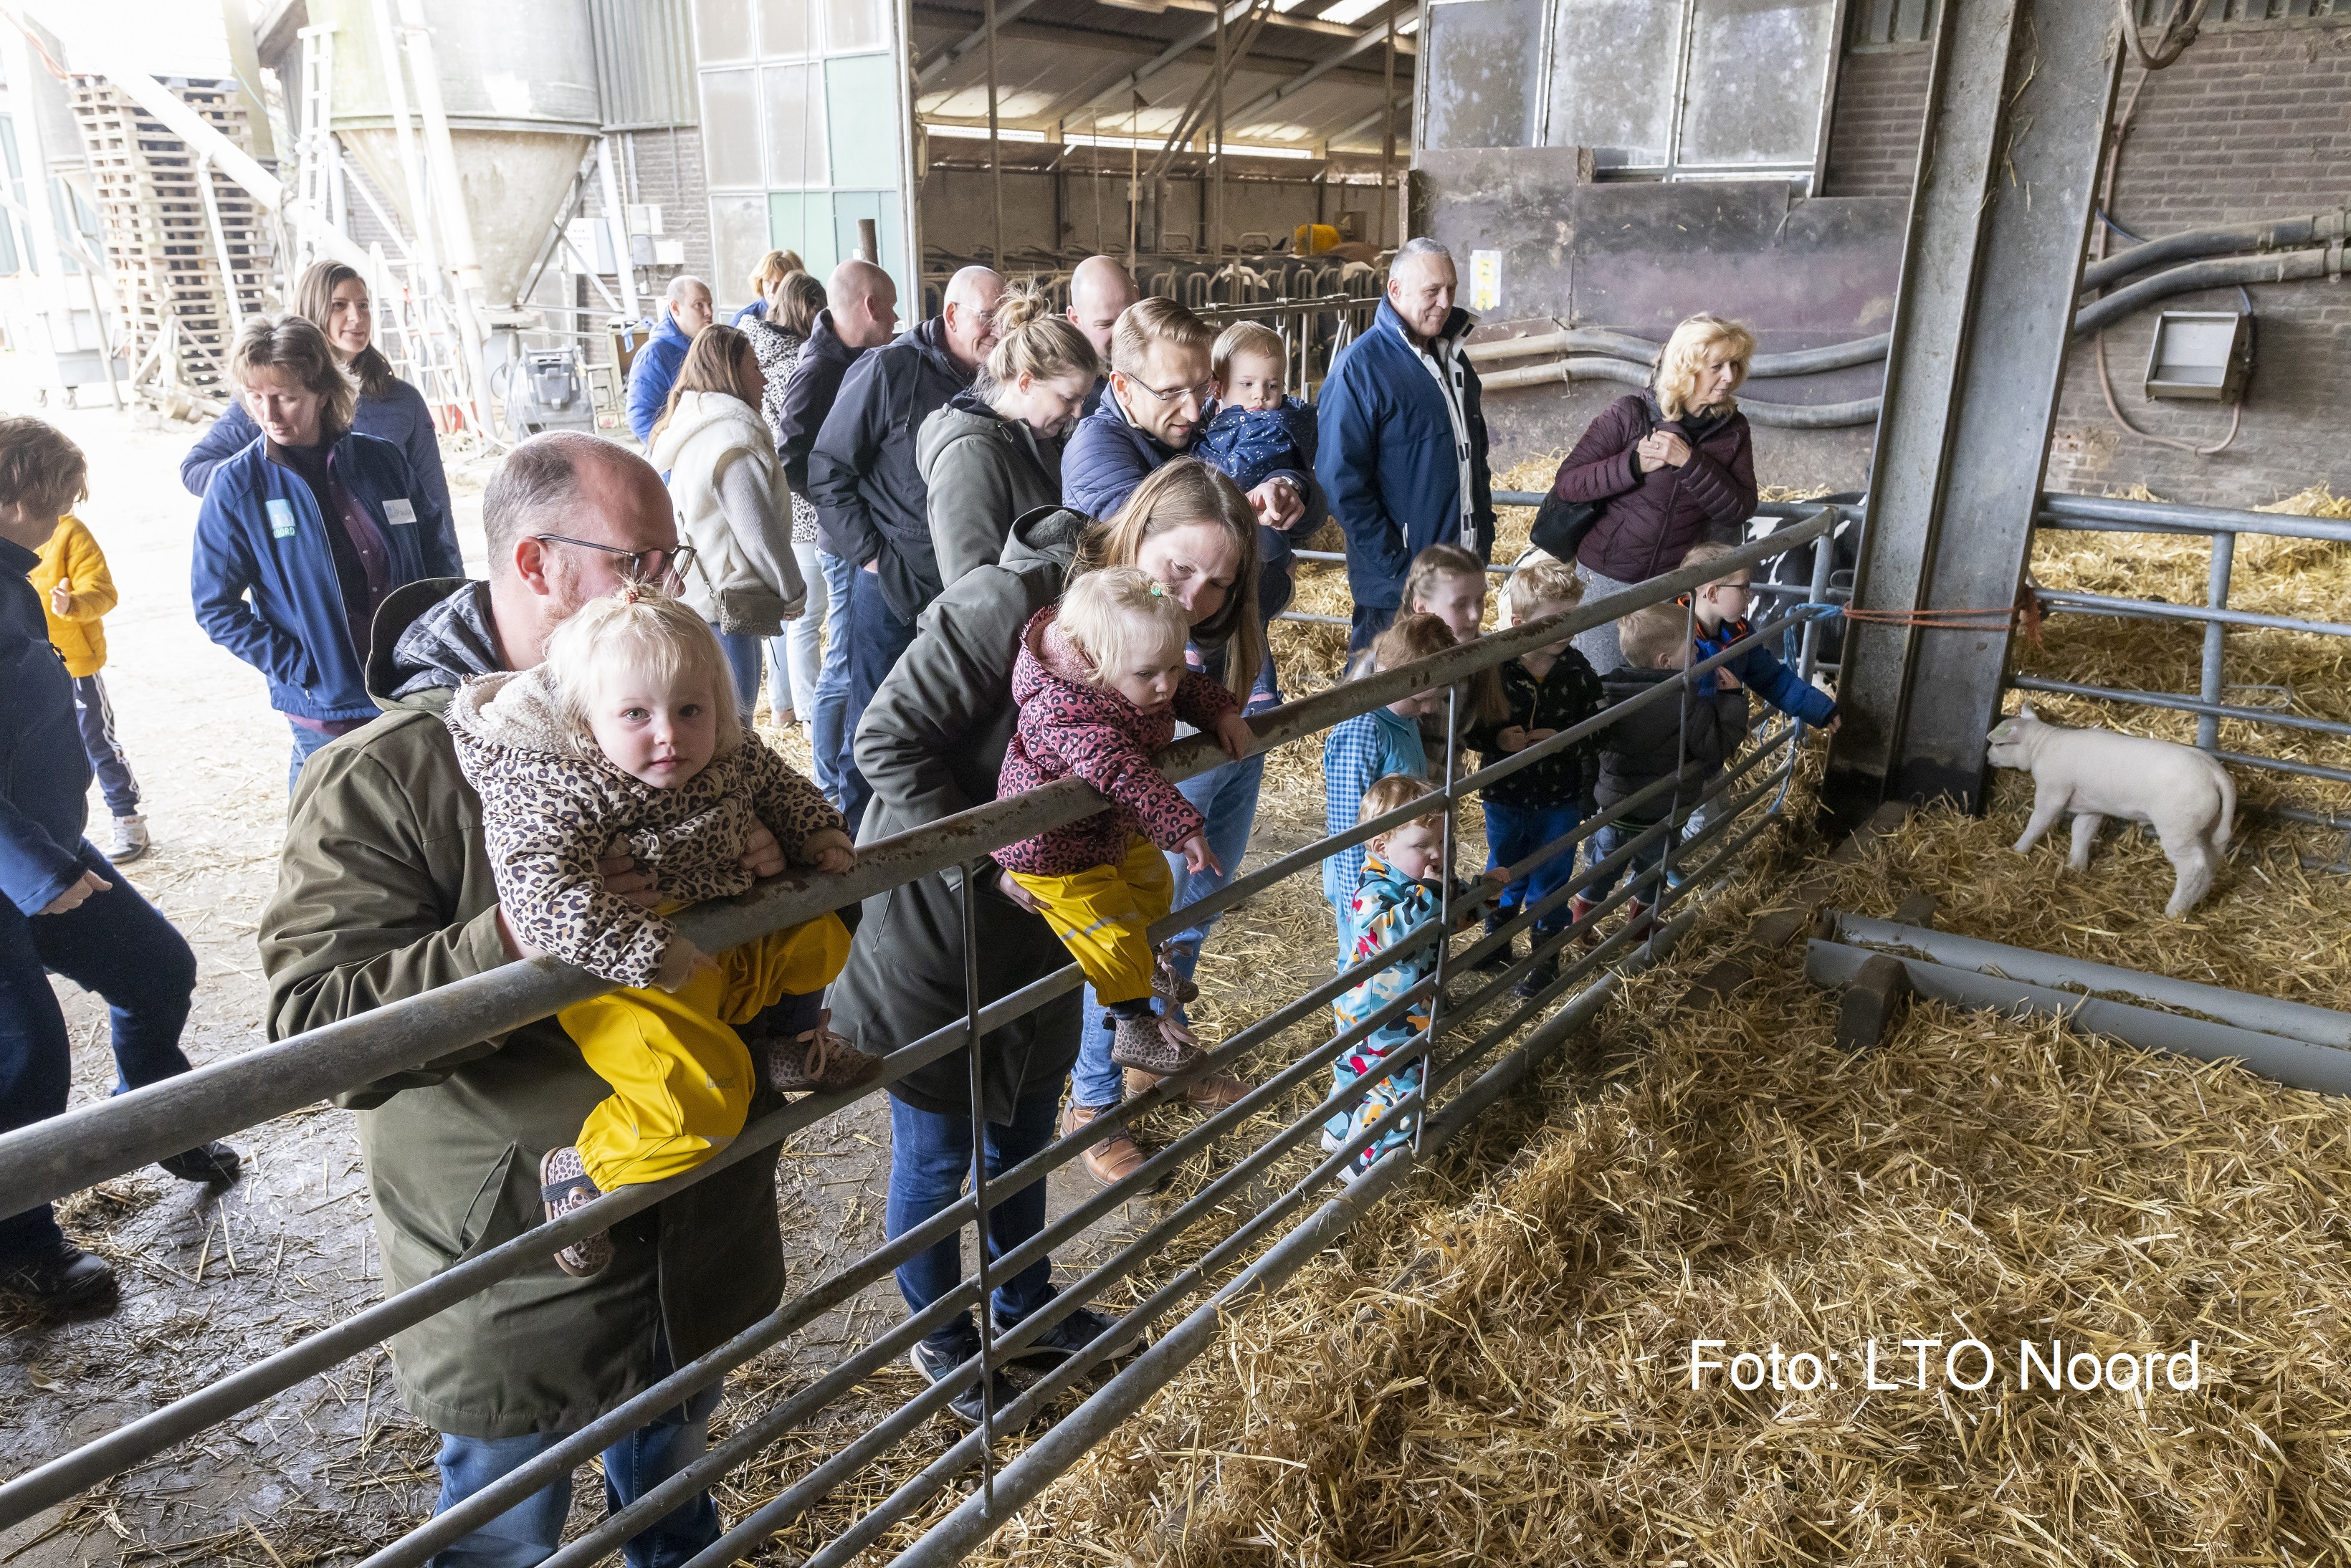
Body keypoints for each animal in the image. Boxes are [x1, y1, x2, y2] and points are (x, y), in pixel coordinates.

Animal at [1984, 709, 2238, 921]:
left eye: (2000, 744)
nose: (1987, 757)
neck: (2041, 745)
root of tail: (2214, 772)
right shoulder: (2091, 805)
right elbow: (2082, 832)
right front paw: (2076, 866)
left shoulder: (2052, 791)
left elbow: (2038, 822)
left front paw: (2018, 850)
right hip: (2209, 828)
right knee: (2210, 862)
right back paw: (2196, 900)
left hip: (2178, 827)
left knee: (2193, 865)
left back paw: (2175, 910)